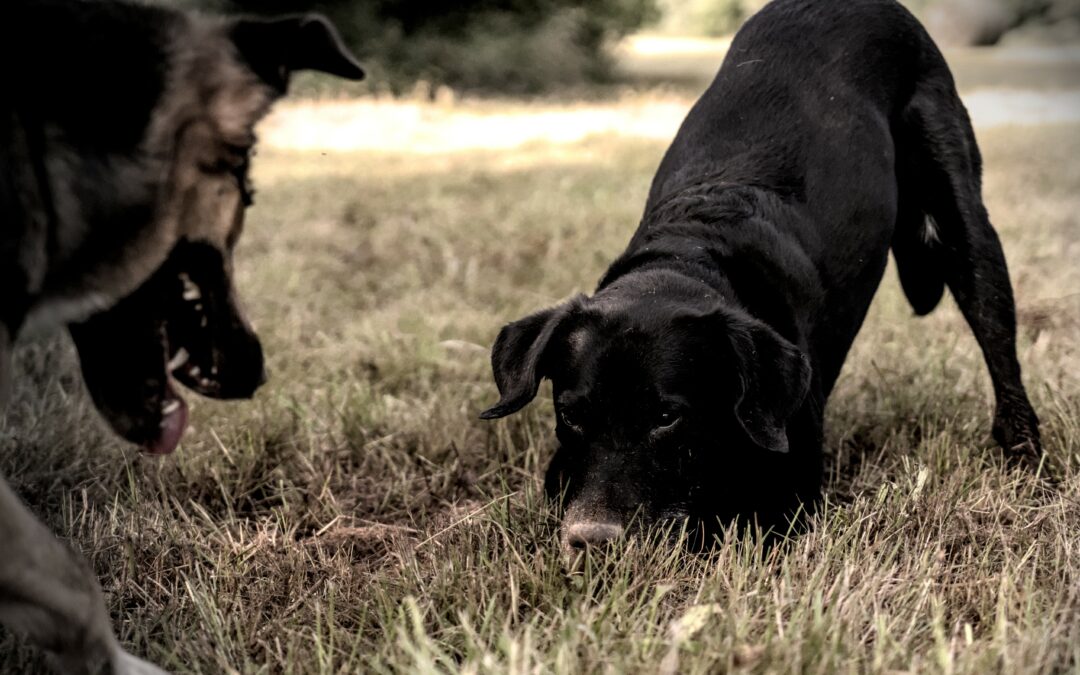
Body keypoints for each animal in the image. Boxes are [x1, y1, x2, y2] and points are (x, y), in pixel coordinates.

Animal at [481, 0, 1036, 550]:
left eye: (666, 417)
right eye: (571, 415)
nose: (591, 540)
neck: (688, 256)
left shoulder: (787, 501)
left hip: (965, 226)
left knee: (1001, 353)